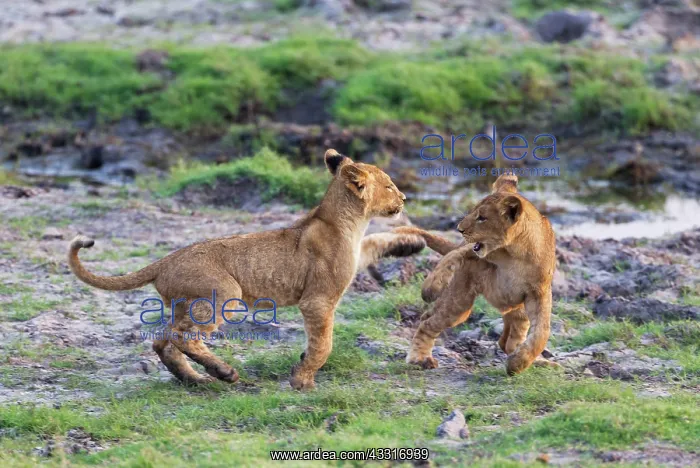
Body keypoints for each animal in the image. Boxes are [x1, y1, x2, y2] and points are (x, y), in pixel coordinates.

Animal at [68, 149, 426, 389]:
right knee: (181, 338)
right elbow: (323, 344)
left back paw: (195, 380)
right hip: (226, 294)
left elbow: (377, 241)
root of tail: (166, 259)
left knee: (163, 341)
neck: (346, 222)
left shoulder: (355, 254)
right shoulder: (317, 300)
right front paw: (302, 379)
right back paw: (223, 373)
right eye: (390, 186)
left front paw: (410, 244)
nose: (405, 197)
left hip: (186, 304)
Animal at [395, 174, 557, 375]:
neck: (514, 255)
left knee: (508, 339)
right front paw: (431, 286)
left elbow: (541, 332)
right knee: (428, 323)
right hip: (459, 303)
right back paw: (419, 358)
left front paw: (518, 363)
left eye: (482, 218)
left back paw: (534, 360)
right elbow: (453, 256)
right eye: (473, 212)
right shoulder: (472, 253)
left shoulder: (538, 293)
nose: (459, 229)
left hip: (513, 308)